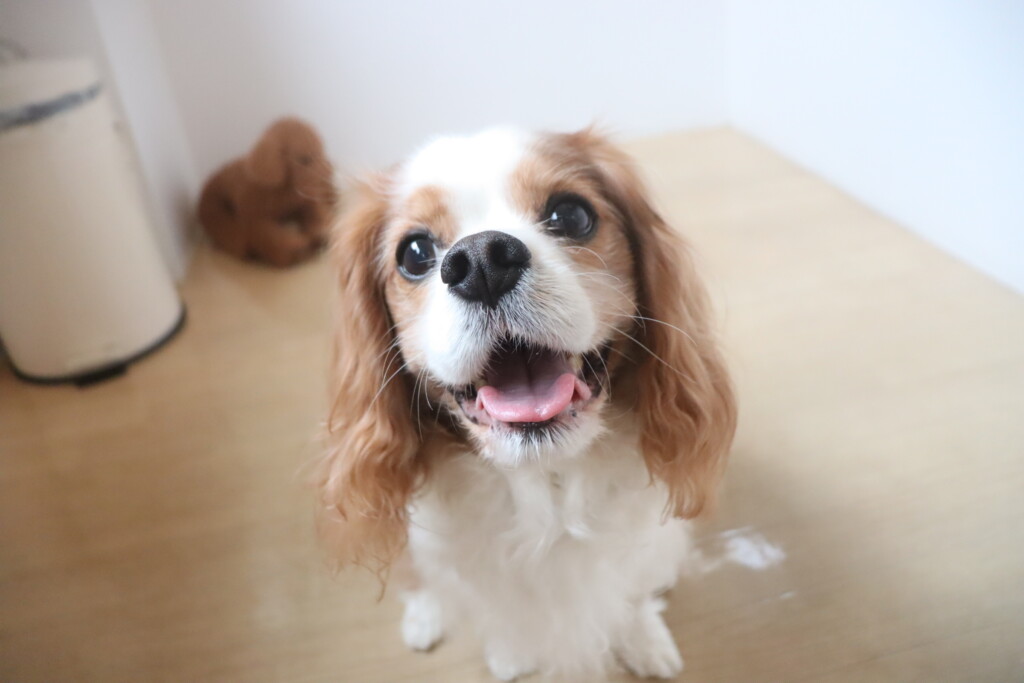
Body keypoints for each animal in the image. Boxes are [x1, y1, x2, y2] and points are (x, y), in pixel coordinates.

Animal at [316, 127, 736, 680]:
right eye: (415, 253)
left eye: (572, 215)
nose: (481, 261)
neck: (548, 482)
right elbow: (496, 612)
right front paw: (510, 655)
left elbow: (632, 593)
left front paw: (644, 636)